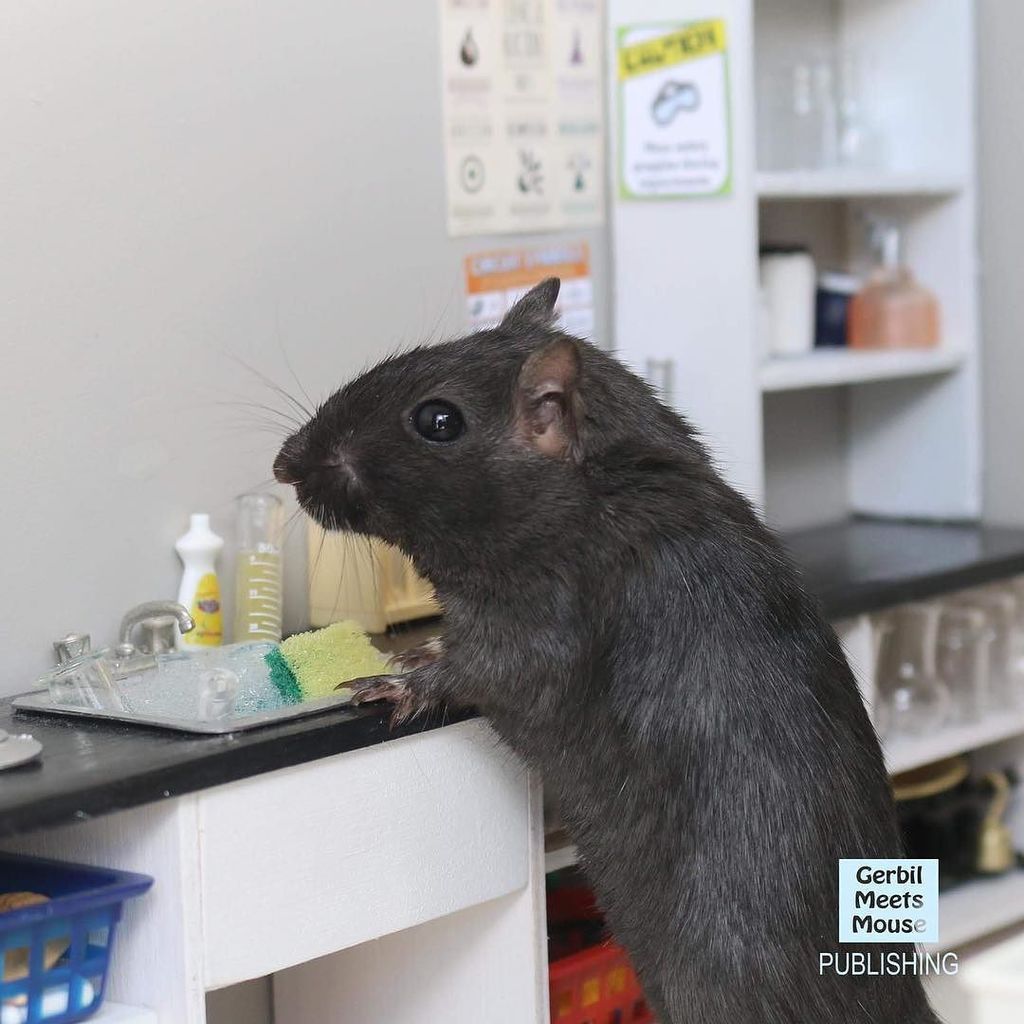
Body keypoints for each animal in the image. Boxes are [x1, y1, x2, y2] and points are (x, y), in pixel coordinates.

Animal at [274, 279, 939, 1024]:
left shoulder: (556, 610)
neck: (598, 478)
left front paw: (409, 682)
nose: (284, 462)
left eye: (437, 421)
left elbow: (501, 667)